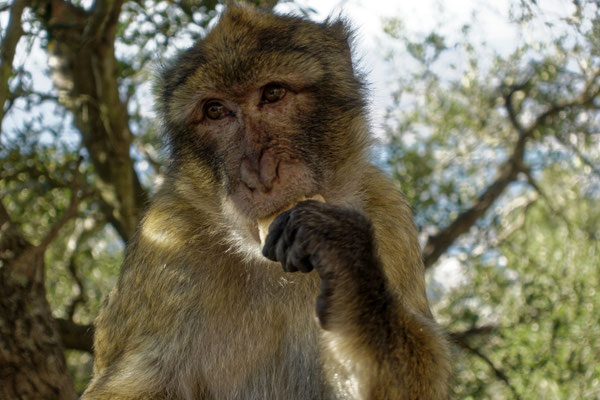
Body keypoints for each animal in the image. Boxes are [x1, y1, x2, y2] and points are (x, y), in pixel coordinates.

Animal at [83, 3, 450, 400]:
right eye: (215, 111)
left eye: (272, 93)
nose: (259, 174)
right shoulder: (166, 239)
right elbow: (129, 387)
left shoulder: (387, 213)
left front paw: (344, 257)